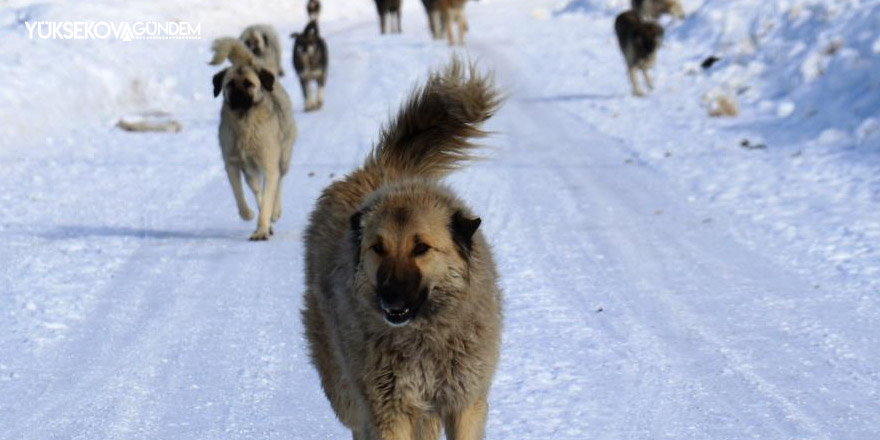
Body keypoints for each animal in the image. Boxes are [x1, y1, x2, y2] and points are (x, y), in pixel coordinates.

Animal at [210, 37, 296, 241]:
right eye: (229, 84)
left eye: (249, 84)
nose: (237, 97)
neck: (244, 124)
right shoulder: (233, 164)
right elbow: (239, 194)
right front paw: (248, 214)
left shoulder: (269, 165)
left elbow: (269, 196)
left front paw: (262, 228)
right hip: (250, 172)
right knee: (257, 190)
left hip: (283, 158)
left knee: (279, 182)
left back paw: (274, 212)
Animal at [302, 59, 502, 440]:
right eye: (378, 248)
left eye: (421, 248)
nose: (390, 298)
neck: (423, 338)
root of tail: (382, 168)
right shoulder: (388, 410)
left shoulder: (464, 403)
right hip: (347, 393)